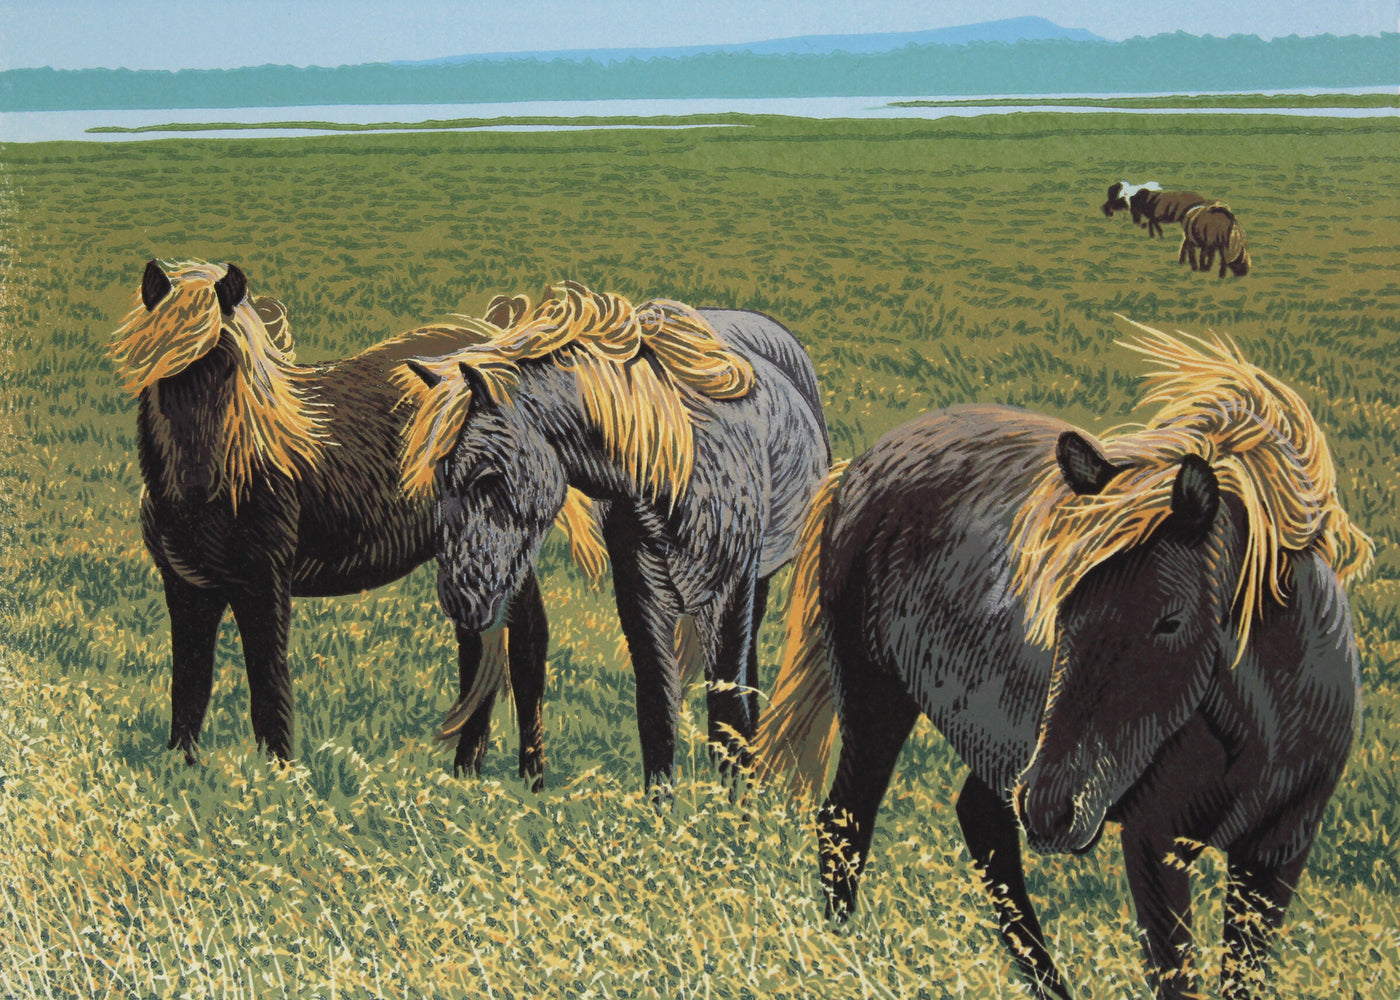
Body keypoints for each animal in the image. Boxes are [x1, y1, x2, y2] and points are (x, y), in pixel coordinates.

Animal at [109, 259, 603, 784]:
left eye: (228, 369)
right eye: (160, 369)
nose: (199, 484)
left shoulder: (263, 586)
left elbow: (267, 684)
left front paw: (280, 776)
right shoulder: (187, 589)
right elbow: (189, 685)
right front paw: (183, 771)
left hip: (504, 547)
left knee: (526, 647)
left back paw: (530, 778)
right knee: (479, 647)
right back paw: (465, 772)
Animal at [400, 280, 830, 792]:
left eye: (486, 475)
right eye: (439, 478)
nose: (460, 599)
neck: (673, 465)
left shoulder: (729, 592)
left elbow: (727, 710)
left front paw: (732, 807)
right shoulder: (640, 589)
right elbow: (657, 709)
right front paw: (662, 806)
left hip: (754, 584)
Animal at [755, 325, 1372, 999]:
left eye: (1170, 620)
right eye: (1066, 604)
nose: (1054, 807)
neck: (1265, 726)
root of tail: (862, 466)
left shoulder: (1277, 854)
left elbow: (1244, 975)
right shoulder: (1156, 844)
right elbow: (1175, 975)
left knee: (981, 825)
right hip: (881, 701)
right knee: (846, 819)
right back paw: (844, 956)